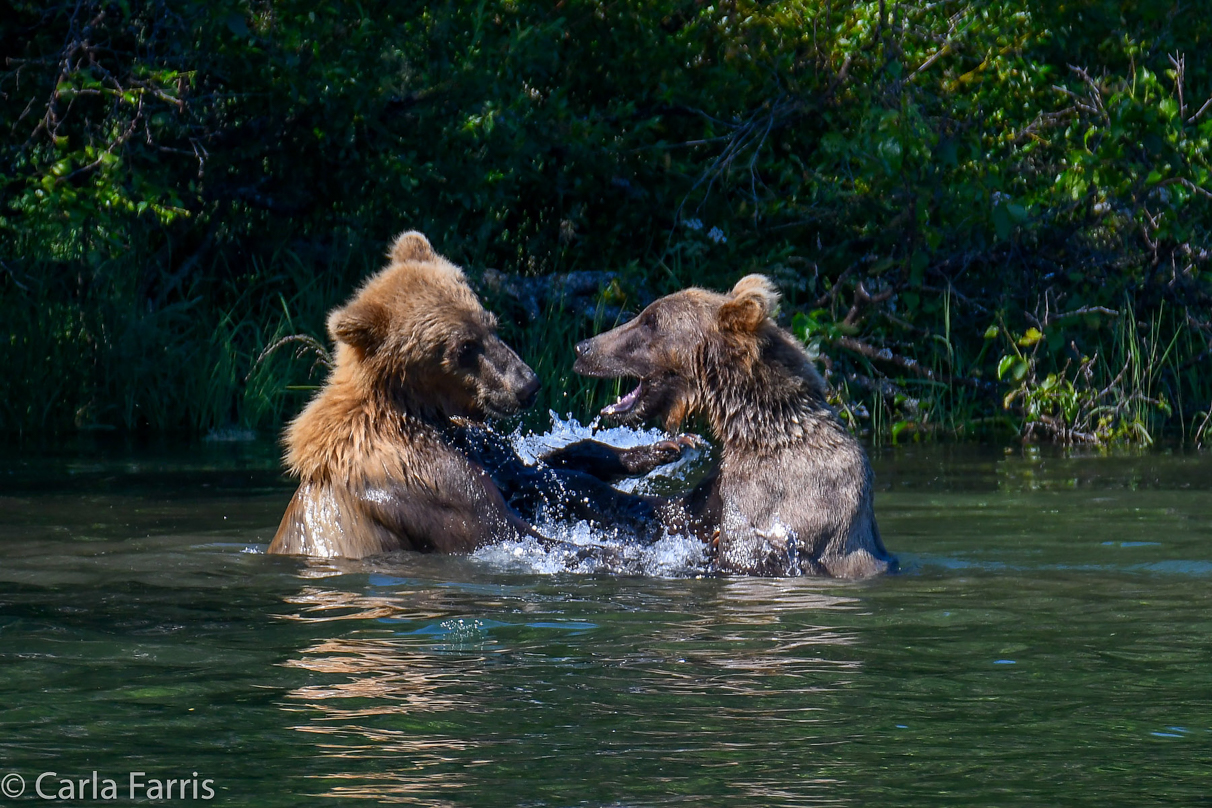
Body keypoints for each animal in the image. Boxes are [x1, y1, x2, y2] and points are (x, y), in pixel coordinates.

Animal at [271, 230, 688, 559]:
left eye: (491, 323)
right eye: (463, 348)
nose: (528, 385)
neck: (422, 412)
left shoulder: (476, 447)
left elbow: (541, 473)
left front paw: (664, 448)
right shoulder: (427, 483)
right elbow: (505, 529)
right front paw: (620, 552)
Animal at [572, 274, 896, 579]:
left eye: (651, 321)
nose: (582, 347)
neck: (755, 432)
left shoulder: (786, 496)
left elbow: (744, 552)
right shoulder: (719, 484)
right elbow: (670, 515)